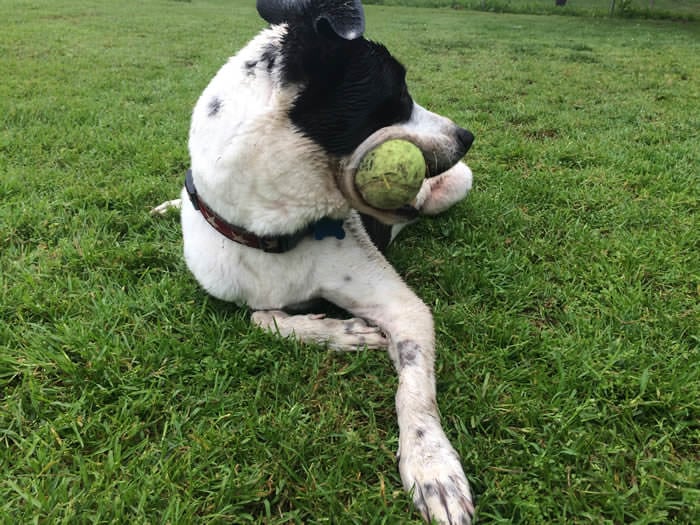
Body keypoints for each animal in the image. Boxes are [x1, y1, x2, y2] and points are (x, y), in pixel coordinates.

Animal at [154, 2, 478, 520]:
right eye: (398, 94)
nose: (466, 136)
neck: (278, 229)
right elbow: (262, 317)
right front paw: (344, 333)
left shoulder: (405, 310)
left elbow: (415, 391)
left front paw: (434, 469)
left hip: (454, 186)